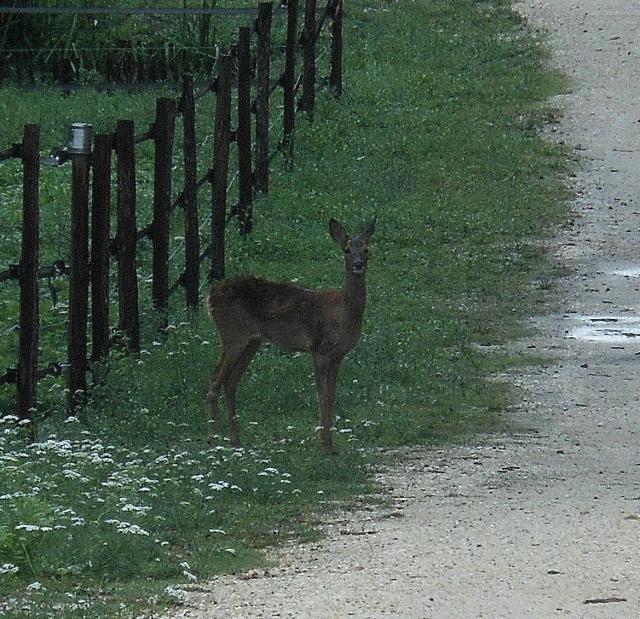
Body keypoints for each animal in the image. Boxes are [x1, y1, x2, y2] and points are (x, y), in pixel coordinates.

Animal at [205, 219, 376, 456]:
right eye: (347, 249)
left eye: (367, 249)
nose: (358, 264)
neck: (344, 313)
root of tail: (210, 296)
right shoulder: (320, 348)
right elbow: (322, 396)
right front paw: (325, 445)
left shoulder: (339, 354)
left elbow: (332, 396)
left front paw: (331, 445)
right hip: (232, 334)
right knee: (215, 380)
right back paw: (212, 440)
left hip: (252, 340)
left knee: (230, 382)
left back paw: (236, 440)